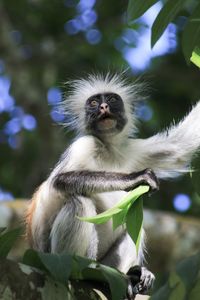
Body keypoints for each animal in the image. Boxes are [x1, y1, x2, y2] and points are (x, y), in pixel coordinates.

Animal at [26, 73, 200, 298]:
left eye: (111, 99)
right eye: (93, 103)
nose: (103, 107)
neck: (107, 149)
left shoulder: (132, 150)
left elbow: (180, 148)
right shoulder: (85, 143)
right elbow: (61, 180)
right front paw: (136, 177)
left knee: (134, 225)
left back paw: (132, 275)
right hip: (50, 257)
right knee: (79, 202)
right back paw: (86, 273)